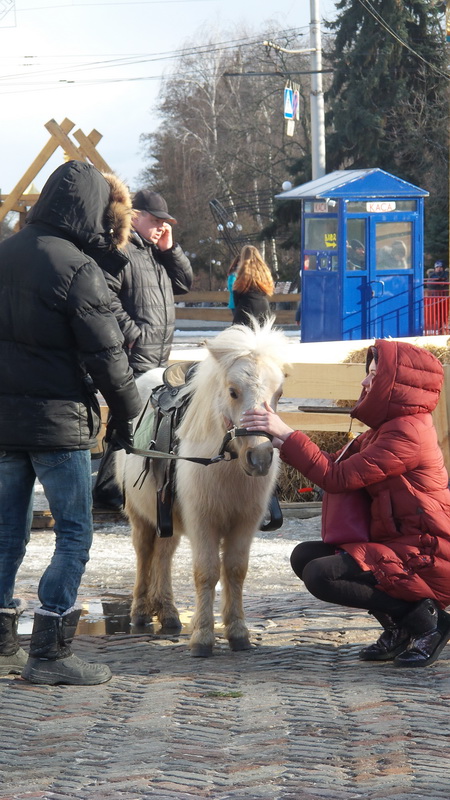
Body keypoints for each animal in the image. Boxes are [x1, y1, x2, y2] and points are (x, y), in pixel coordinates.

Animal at [116, 319, 289, 657]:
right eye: (233, 391)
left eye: (278, 393)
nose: (260, 458)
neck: (226, 465)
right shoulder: (203, 523)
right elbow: (206, 573)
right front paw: (203, 638)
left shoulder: (243, 525)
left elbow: (235, 570)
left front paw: (238, 633)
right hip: (140, 516)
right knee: (144, 553)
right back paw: (141, 611)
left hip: (167, 516)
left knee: (164, 555)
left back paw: (168, 612)